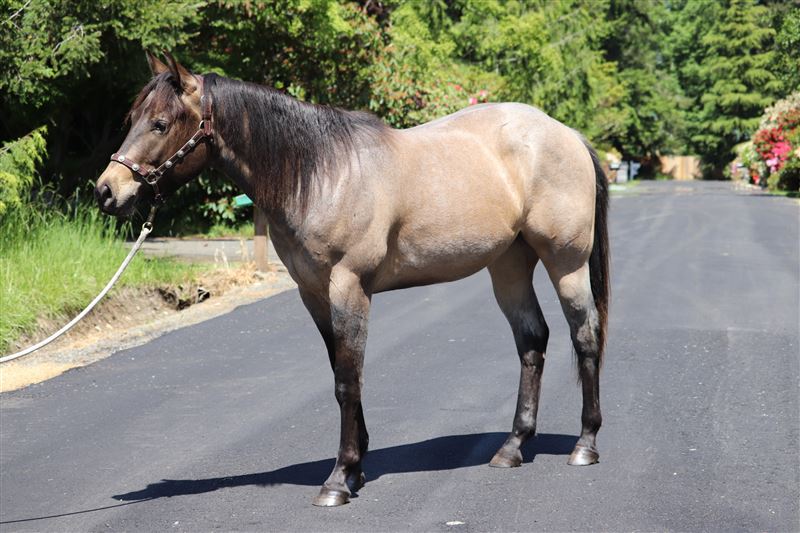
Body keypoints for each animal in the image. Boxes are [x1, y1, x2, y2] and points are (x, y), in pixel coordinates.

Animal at [95, 51, 610, 507]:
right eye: (133, 118)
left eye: (161, 124)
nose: (106, 191)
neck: (322, 175)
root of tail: (567, 134)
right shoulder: (315, 295)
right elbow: (341, 371)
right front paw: (356, 467)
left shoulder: (349, 287)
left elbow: (348, 378)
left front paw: (338, 480)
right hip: (509, 265)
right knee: (532, 340)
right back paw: (513, 447)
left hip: (566, 263)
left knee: (585, 335)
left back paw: (585, 444)